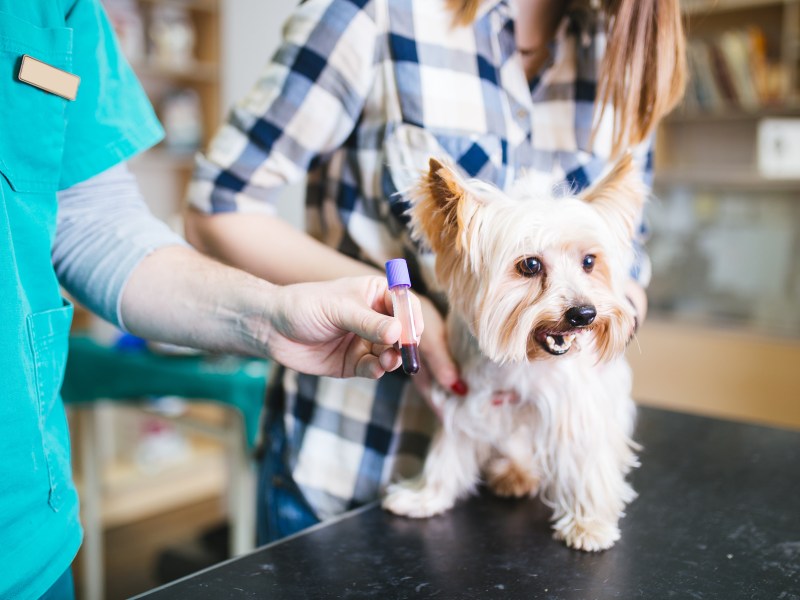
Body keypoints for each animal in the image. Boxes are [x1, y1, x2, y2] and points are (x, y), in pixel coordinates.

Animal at [382, 156, 644, 552]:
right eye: (530, 265)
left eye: (589, 261)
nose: (584, 314)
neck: (525, 359)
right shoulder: (465, 397)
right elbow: (448, 447)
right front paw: (426, 495)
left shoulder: (574, 404)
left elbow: (584, 459)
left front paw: (588, 524)